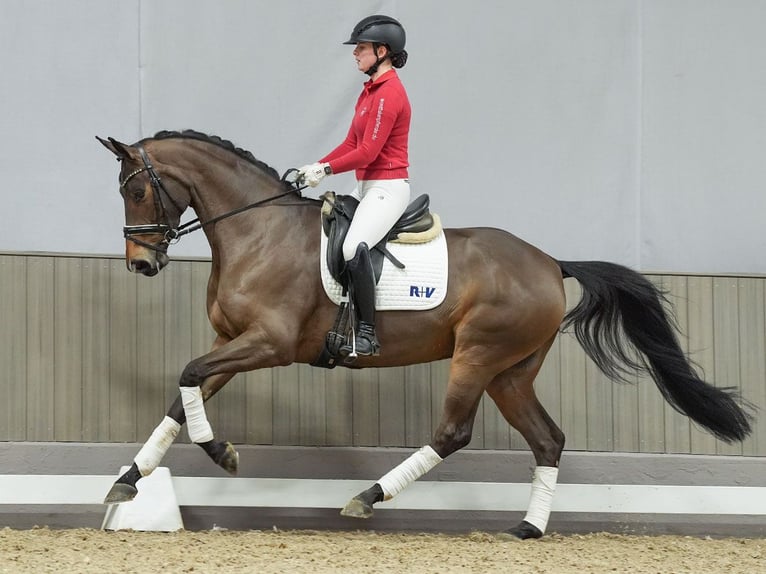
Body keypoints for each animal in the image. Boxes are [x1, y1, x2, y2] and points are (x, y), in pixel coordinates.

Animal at [97, 129, 756, 540]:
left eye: (137, 188)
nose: (141, 264)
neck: (258, 230)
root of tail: (551, 262)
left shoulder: (270, 343)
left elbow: (186, 377)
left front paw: (221, 453)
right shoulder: (232, 343)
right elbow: (182, 395)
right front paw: (128, 482)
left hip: (479, 355)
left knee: (452, 433)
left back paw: (368, 497)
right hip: (511, 371)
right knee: (548, 440)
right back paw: (528, 529)